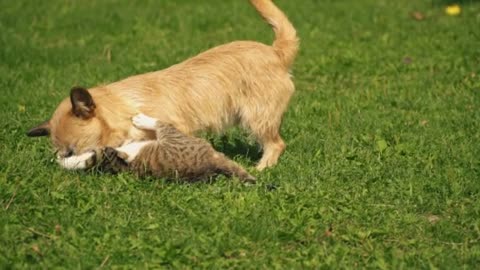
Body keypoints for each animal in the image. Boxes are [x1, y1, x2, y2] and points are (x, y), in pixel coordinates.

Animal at [26, 0, 298, 170]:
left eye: (71, 151)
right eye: (60, 153)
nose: (62, 163)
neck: (123, 110)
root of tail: (276, 52)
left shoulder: (176, 130)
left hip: (256, 117)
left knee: (276, 143)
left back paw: (263, 167)